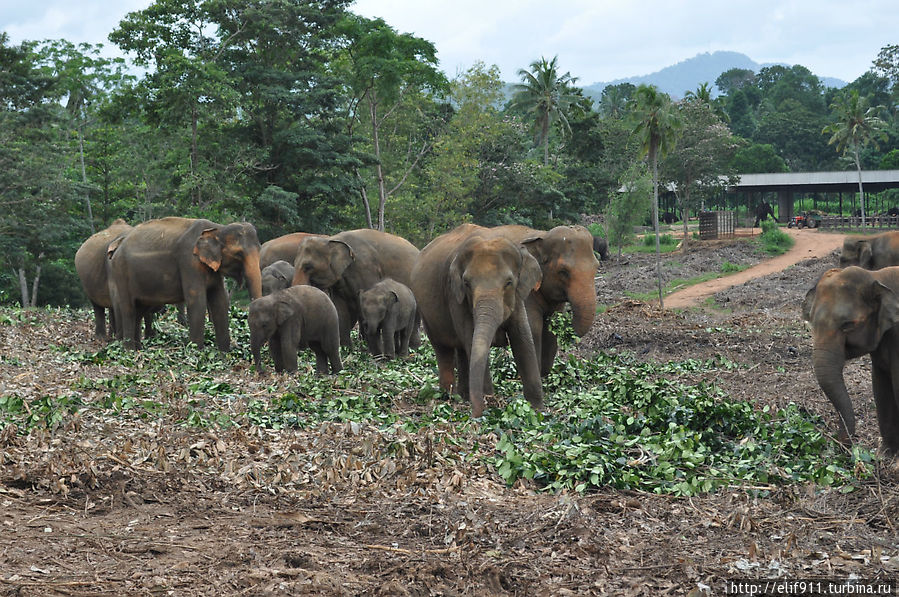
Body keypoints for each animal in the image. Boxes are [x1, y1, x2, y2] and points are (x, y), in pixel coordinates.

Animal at [106, 217, 260, 350]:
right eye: (239, 254)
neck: (218, 228)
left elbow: (220, 301)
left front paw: (224, 353)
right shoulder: (189, 262)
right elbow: (197, 301)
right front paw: (197, 352)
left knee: (139, 310)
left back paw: (138, 349)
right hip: (121, 272)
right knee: (129, 309)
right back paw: (129, 350)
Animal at [294, 229, 424, 350]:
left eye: (308, 267)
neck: (331, 239)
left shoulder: (365, 268)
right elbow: (341, 308)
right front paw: (346, 348)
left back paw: (414, 347)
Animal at [414, 221, 540, 416]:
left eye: (509, 282)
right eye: (467, 283)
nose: (477, 413)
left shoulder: (518, 298)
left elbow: (522, 338)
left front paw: (537, 407)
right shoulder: (455, 295)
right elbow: (471, 337)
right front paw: (489, 402)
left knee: (461, 349)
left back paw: (462, 396)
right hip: (427, 314)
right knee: (443, 349)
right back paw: (448, 395)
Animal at [492, 226, 596, 374]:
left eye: (597, 267)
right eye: (563, 271)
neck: (541, 235)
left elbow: (549, 331)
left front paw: (544, 374)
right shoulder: (526, 292)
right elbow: (533, 328)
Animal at [804, 266, 899, 452]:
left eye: (847, 325)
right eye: (812, 322)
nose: (842, 444)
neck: (876, 276)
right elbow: (880, 387)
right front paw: (885, 454)